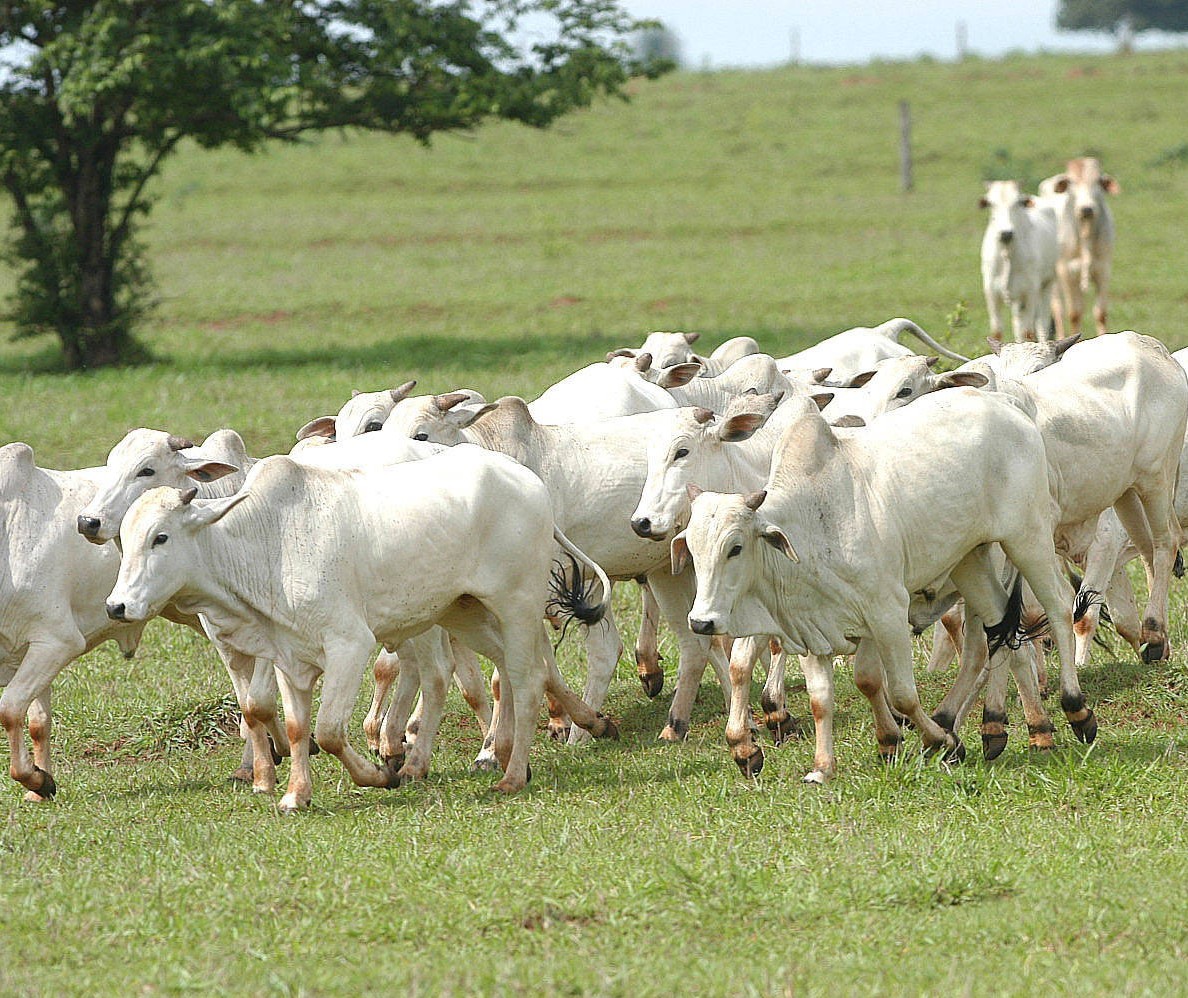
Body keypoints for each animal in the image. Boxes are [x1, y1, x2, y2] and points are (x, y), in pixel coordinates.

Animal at [983, 181, 1059, 344]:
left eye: (1017, 202)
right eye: (991, 203)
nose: (1006, 233)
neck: (1007, 252)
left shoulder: (1030, 291)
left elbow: (1028, 332)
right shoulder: (991, 292)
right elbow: (997, 332)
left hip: (1047, 284)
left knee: (1041, 324)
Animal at [1045, 158, 1116, 337]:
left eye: (1098, 181)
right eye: (1072, 182)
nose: (1086, 209)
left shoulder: (1103, 270)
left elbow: (1100, 313)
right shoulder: (1066, 272)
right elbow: (1074, 313)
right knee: (1058, 308)